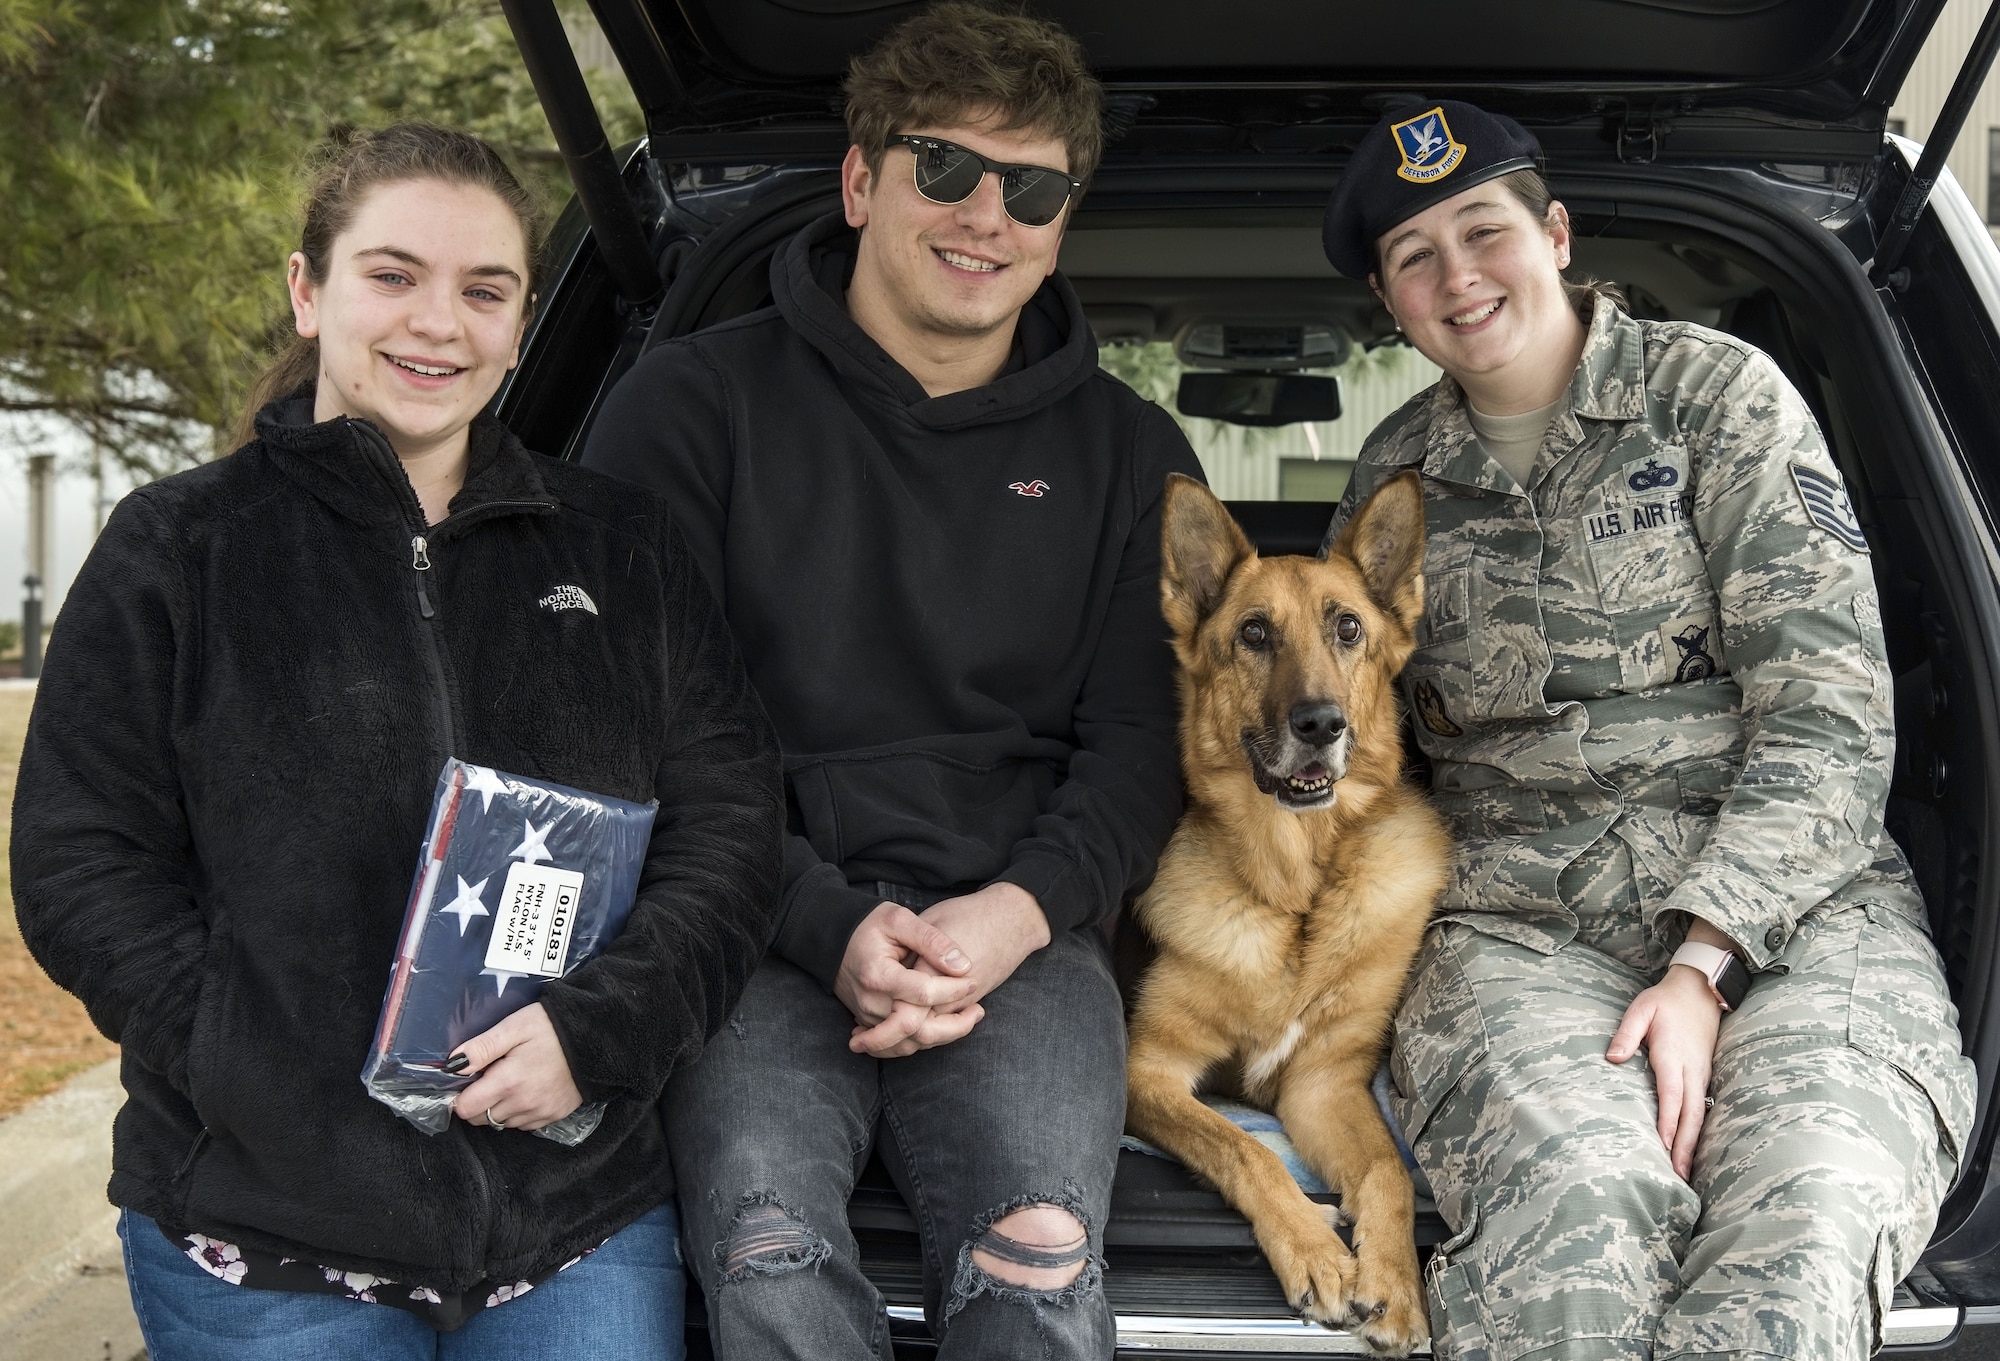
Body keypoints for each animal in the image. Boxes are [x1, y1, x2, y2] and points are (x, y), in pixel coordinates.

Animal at [1136, 468, 1448, 1352]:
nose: (1320, 724)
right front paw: (1316, 1250)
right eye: (1253, 632)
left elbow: (1386, 1167)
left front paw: (1395, 1281)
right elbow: (1244, 1146)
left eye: (1348, 628)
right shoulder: (1151, 1070)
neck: (1295, 890)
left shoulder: (1322, 1085)